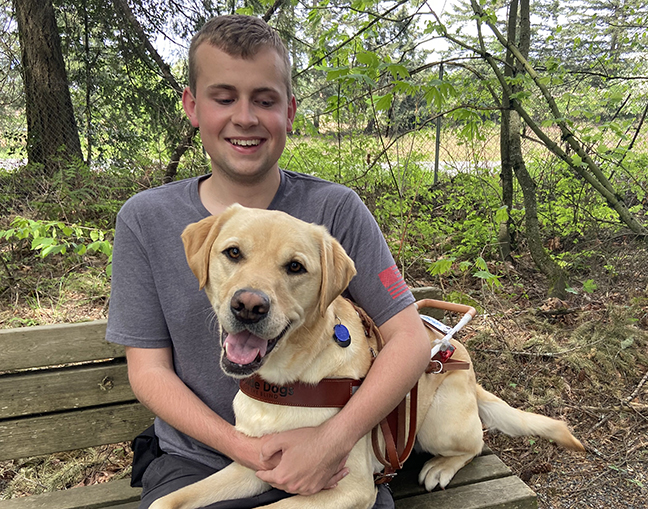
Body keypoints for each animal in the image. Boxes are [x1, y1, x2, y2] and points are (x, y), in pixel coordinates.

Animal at [151, 203, 584, 508]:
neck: (286, 382)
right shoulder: (254, 464)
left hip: (437, 424)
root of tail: (460, 354)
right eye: (233, 253)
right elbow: (167, 500)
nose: (248, 306)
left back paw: (440, 467)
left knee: (474, 444)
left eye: (295, 267)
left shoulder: (350, 488)